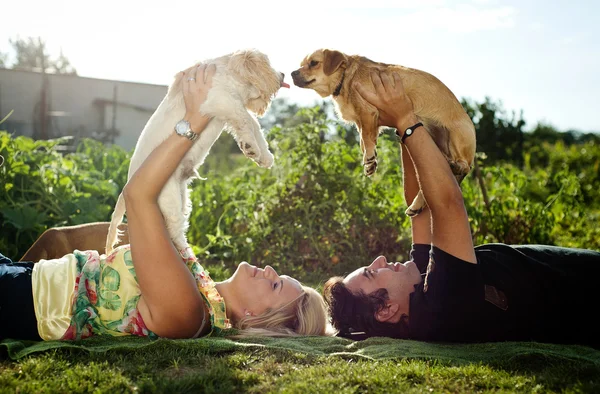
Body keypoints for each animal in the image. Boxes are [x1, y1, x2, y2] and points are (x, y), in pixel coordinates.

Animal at [105, 48, 288, 255]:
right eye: (269, 64)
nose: (283, 75)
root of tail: (127, 185)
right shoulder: (223, 101)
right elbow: (247, 121)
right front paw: (252, 148)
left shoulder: (229, 108)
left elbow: (254, 126)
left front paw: (265, 157)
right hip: (169, 201)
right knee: (175, 234)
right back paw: (190, 258)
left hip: (182, 198)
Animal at [292, 49, 478, 215]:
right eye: (301, 64)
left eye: (313, 63)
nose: (293, 73)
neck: (346, 78)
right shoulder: (363, 122)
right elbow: (364, 140)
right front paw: (370, 162)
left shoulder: (367, 114)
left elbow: (366, 139)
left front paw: (369, 157)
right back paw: (417, 204)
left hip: (456, 137)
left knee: (464, 167)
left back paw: (455, 165)